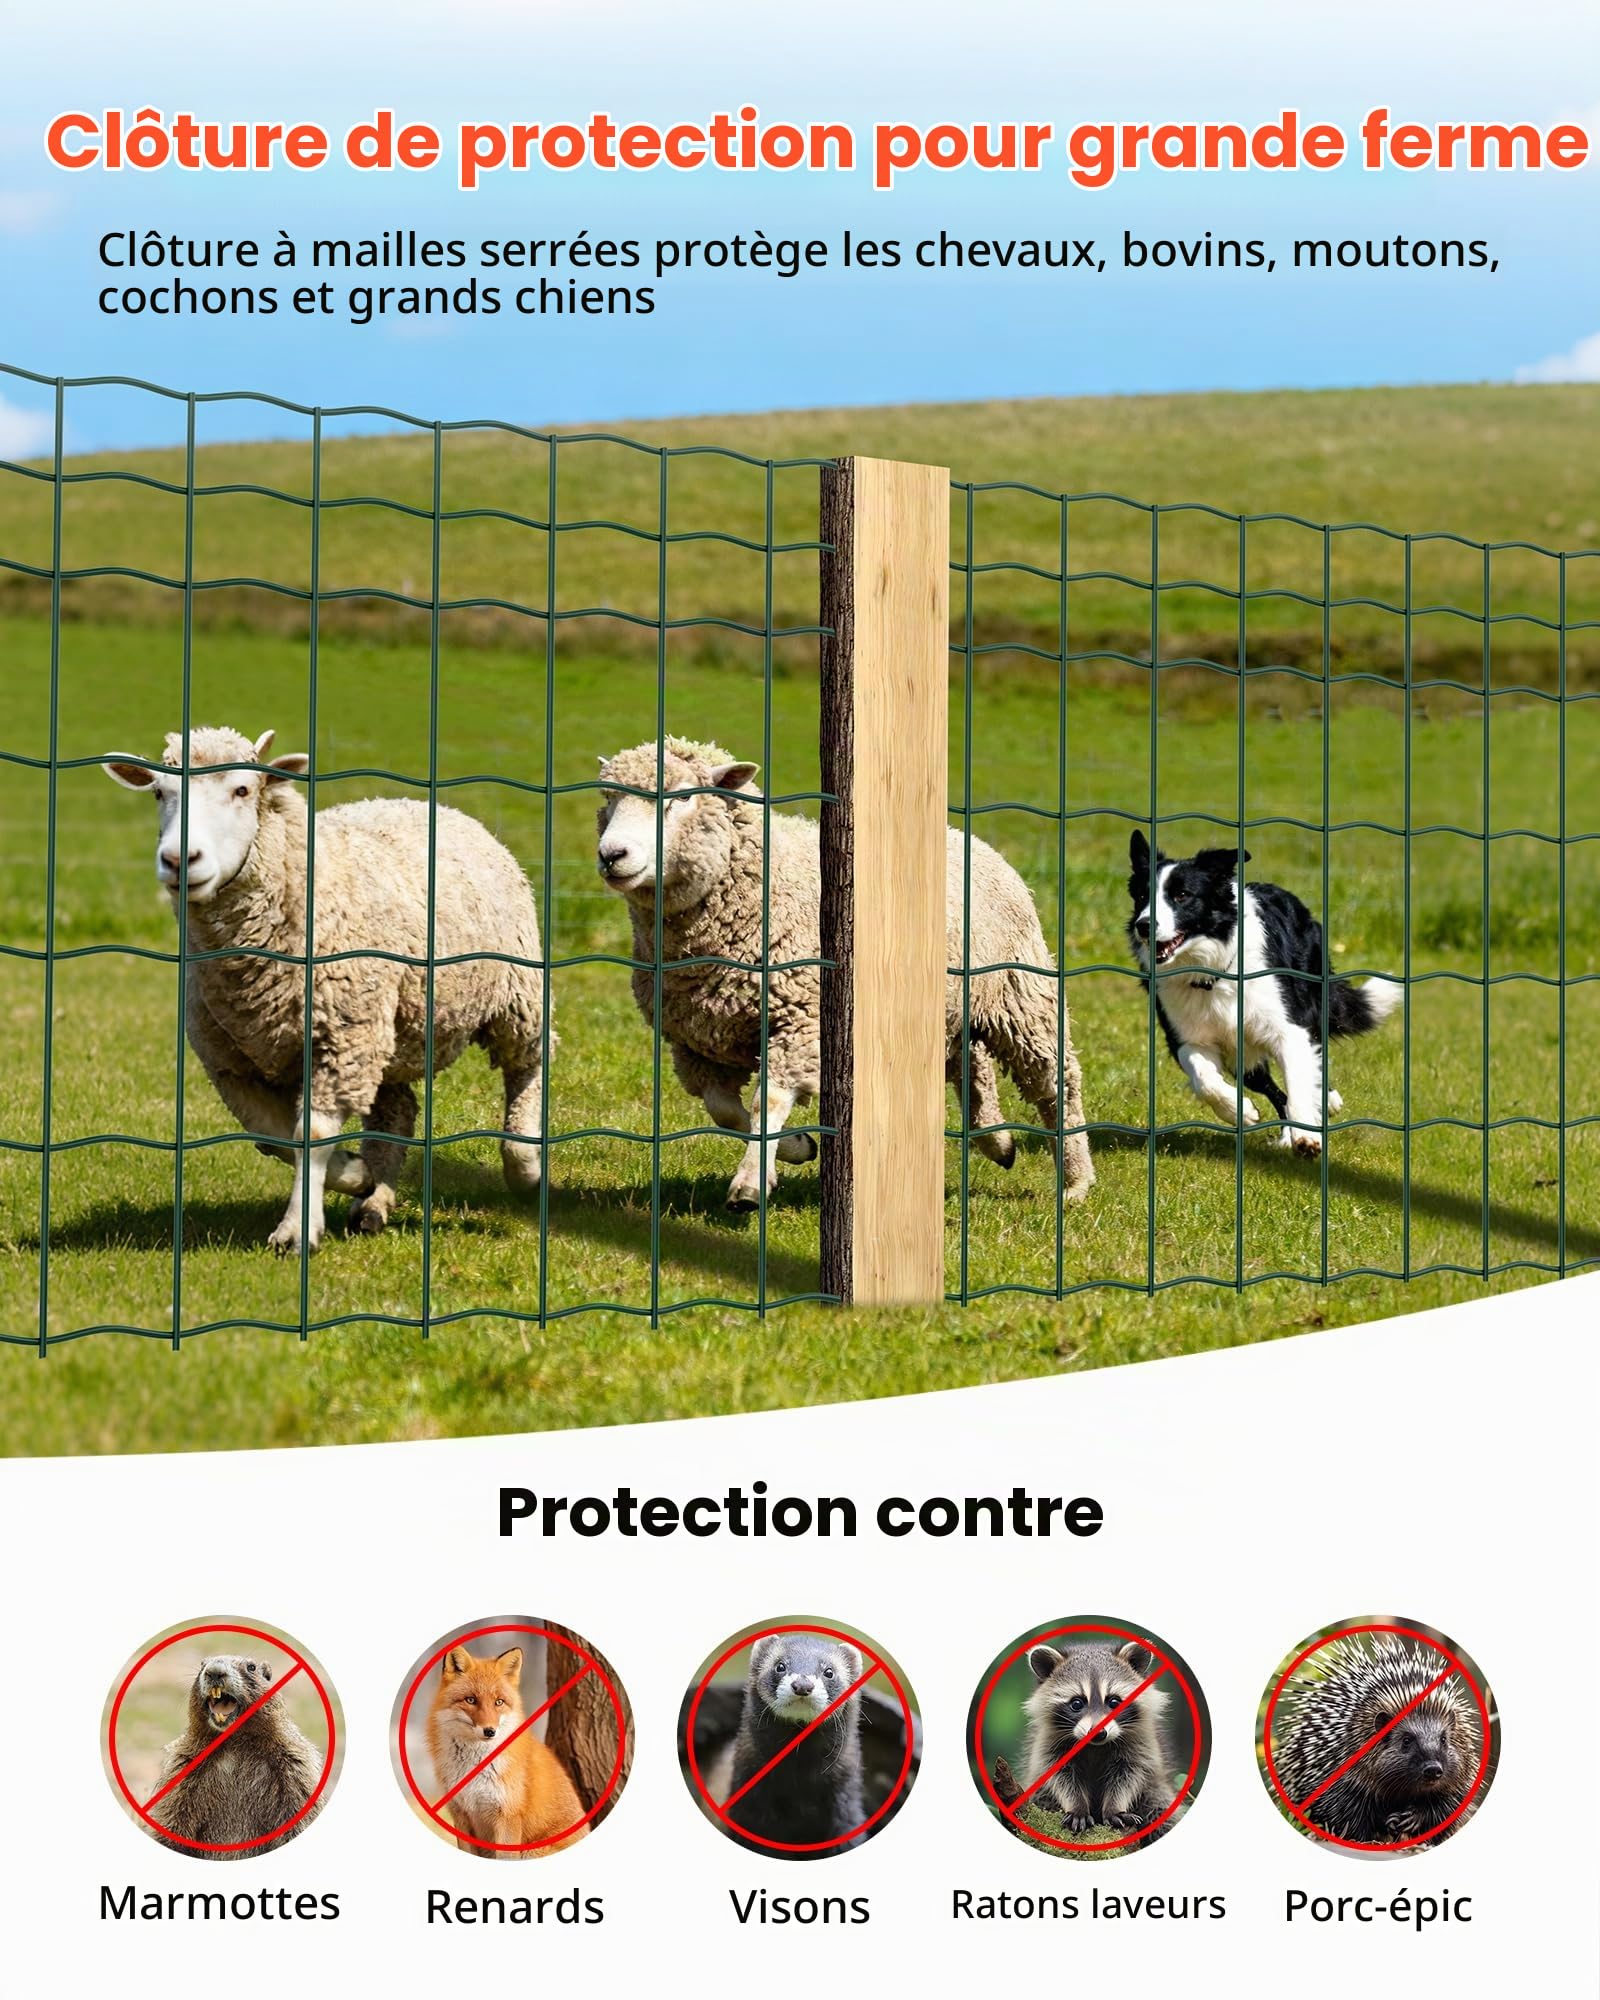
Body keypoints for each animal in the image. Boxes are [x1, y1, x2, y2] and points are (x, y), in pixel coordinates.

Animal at [103, 725, 550, 1254]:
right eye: (158, 793)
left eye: (243, 790)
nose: (178, 860)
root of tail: (423, 802)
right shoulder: (232, 1063)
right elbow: (275, 1138)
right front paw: (354, 1174)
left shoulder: (339, 1040)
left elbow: (310, 1132)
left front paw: (298, 1229)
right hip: (389, 1032)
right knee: (398, 1111)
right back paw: (375, 1199)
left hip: (515, 994)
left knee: (527, 1065)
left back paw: (524, 1164)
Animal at [595, 737, 1093, 1210]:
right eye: (608, 797)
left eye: (682, 797)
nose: (611, 855)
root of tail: (968, 838)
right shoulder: (697, 1044)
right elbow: (725, 1112)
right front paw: (798, 1147)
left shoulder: (801, 1022)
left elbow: (765, 1101)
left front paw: (750, 1185)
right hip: (951, 1007)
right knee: (974, 1066)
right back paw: (999, 1143)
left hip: (1023, 999)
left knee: (1057, 1084)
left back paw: (1075, 1182)